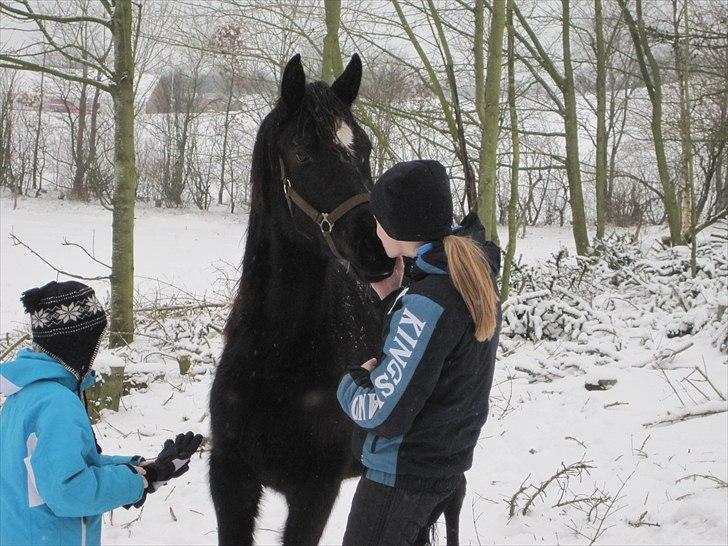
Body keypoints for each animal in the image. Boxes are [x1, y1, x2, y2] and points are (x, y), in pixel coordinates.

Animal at [208, 53, 396, 540]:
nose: (379, 248)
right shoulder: (231, 480)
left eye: (365, 148)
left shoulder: (315, 490)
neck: (275, 352)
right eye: (302, 153)